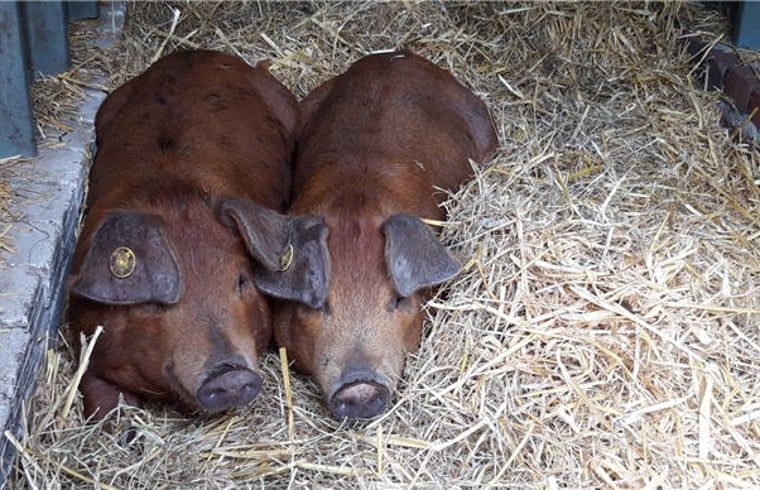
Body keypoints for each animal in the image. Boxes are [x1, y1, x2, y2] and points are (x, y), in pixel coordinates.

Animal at [67, 50, 305, 421]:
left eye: (241, 280)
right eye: (156, 299)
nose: (230, 375)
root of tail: (196, 53)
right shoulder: (84, 336)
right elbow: (98, 393)